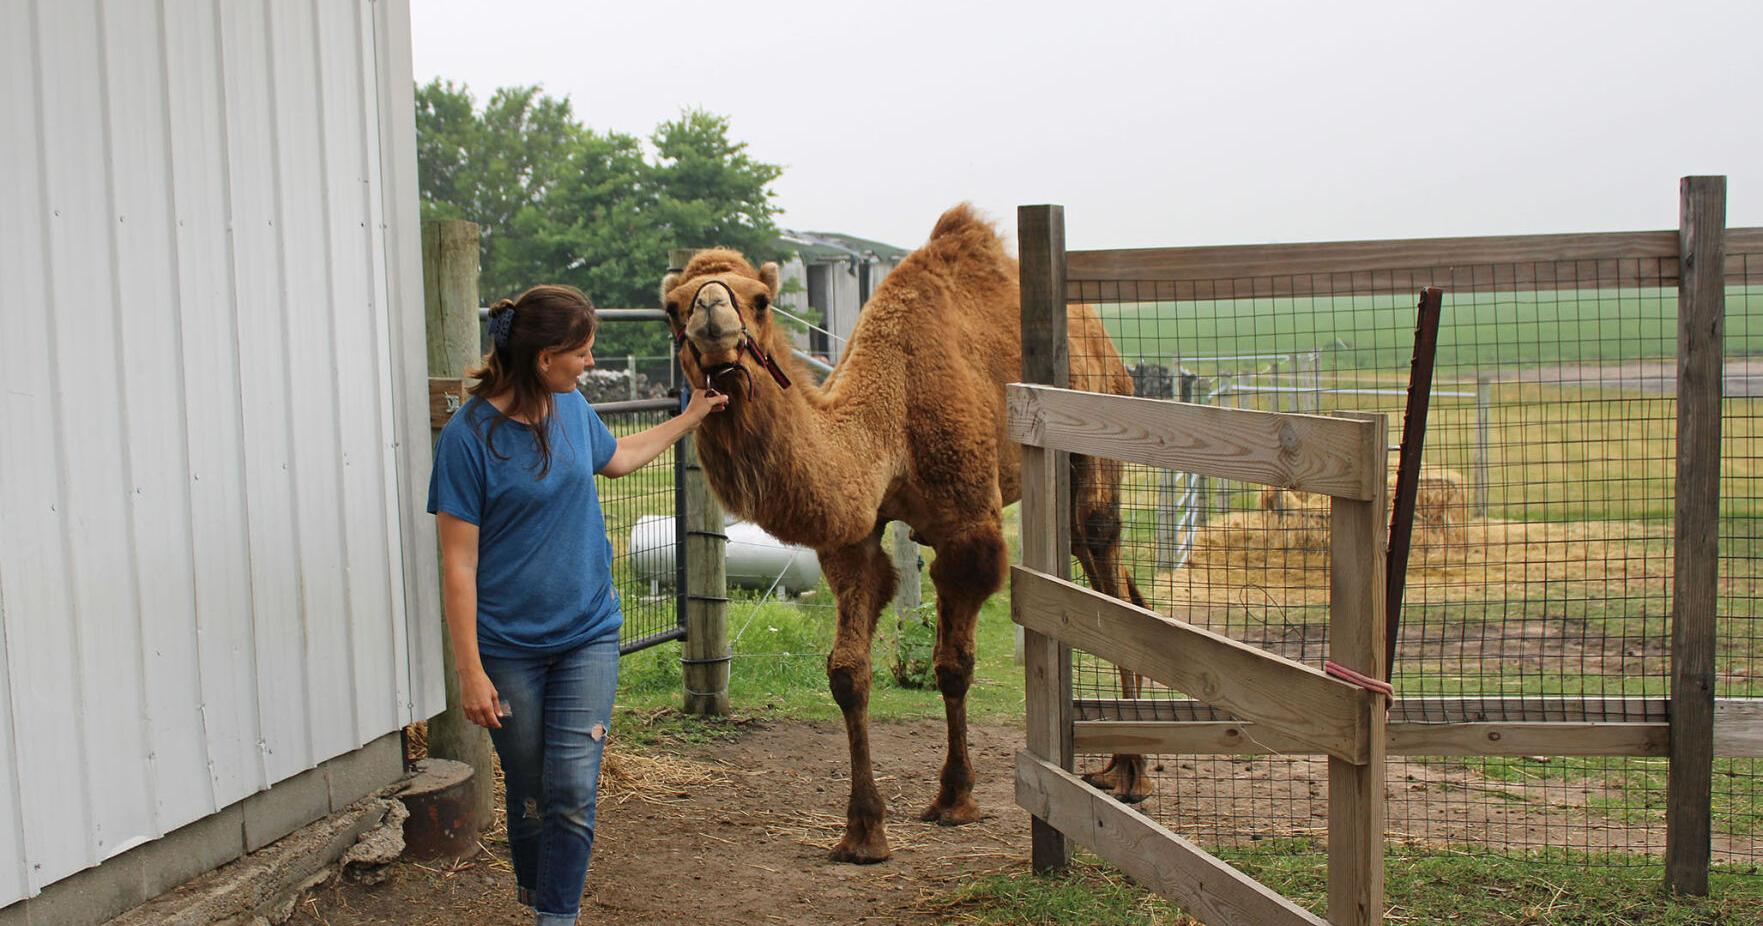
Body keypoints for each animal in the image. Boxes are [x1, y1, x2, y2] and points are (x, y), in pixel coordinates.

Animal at [659, 204, 1149, 863]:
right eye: (672, 306)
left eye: (760, 300)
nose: (712, 313)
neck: (890, 416)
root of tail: (1105, 342)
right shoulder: (854, 540)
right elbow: (847, 673)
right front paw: (863, 832)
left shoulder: (967, 531)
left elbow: (952, 665)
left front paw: (955, 798)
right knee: (1114, 580)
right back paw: (1113, 764)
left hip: (1098, 431)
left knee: (1100, 547)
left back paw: (1131, 773)